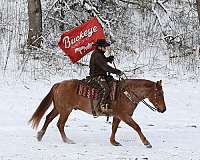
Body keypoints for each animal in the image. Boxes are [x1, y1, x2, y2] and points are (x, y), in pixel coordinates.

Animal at [28, 79, 166, 148]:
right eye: (159, 93)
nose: (163, 109)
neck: (126, 93)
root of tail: (58, 85)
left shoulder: (117, 116)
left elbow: (114, 128)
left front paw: (113, 142)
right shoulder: (125, 116)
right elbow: (137, 127)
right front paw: (147, 143)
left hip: (59, 109)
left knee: (48, 118)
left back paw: (40, 135)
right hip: (65, 110)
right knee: (60, 124)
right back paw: (67, 140)